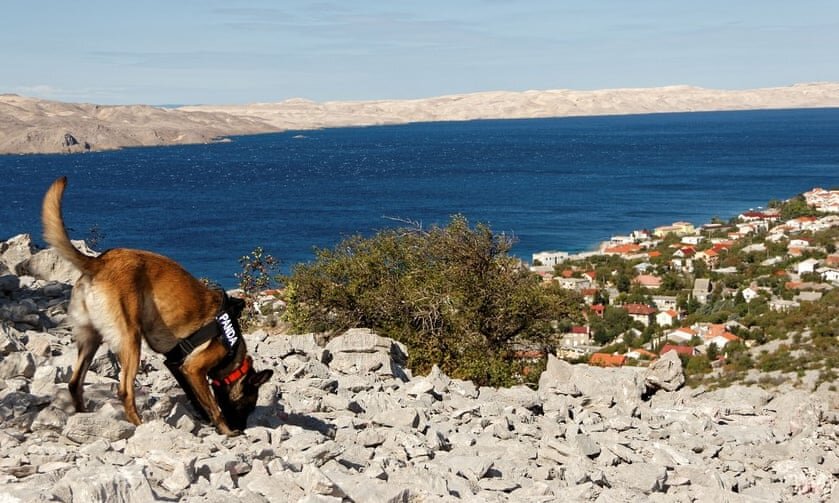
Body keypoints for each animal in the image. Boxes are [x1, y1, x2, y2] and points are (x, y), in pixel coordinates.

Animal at [42, 178, 272, 438]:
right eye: (248, 405)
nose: (241, 428)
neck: (231, 350)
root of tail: (100, 262)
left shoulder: (177, 365)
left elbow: (197, 399)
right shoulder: (194, 368)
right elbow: (213, 406)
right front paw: (224, 429)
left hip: (90, 339)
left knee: (74, 382)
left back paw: (83, 416)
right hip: (131, 340)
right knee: (125, 390)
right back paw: (139, 425)